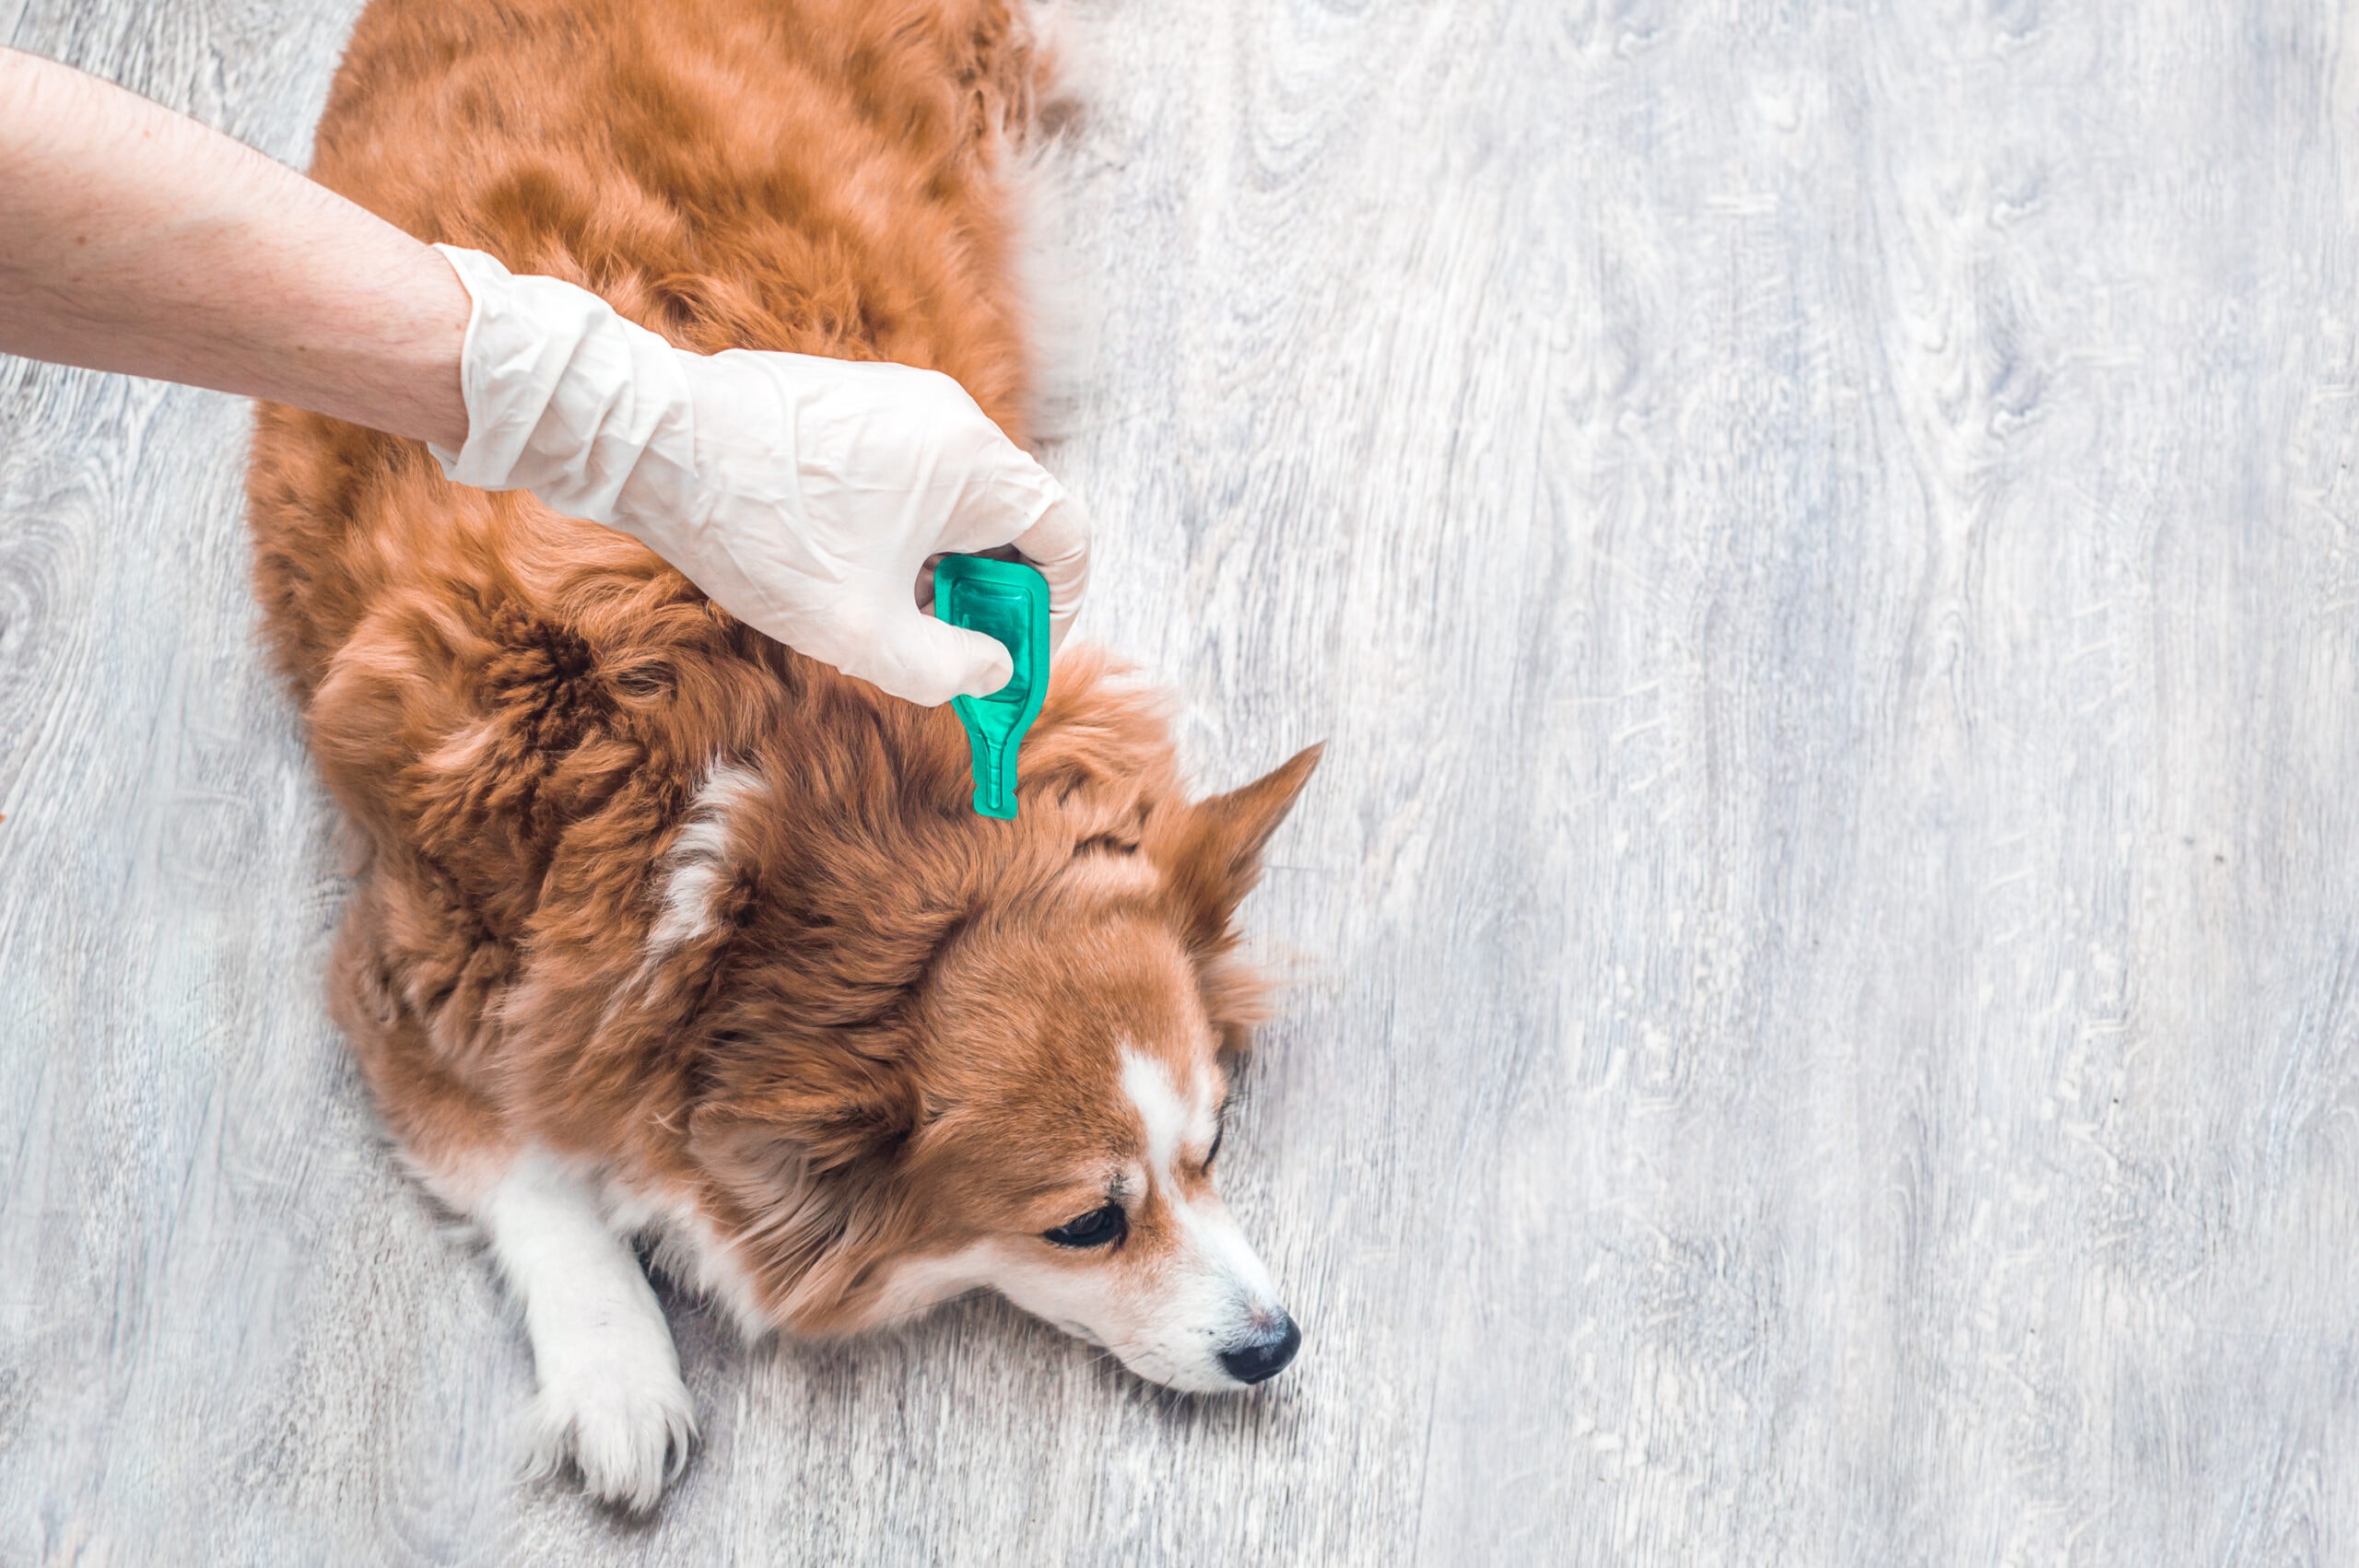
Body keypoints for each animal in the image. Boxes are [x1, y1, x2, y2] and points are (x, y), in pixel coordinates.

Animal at [246, 0, 1320, 1509]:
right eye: (1087, 1224)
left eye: (1212, 1148)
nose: (1276, 1342)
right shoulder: (404, 970)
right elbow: (530, 1167)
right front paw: (618, 1375)